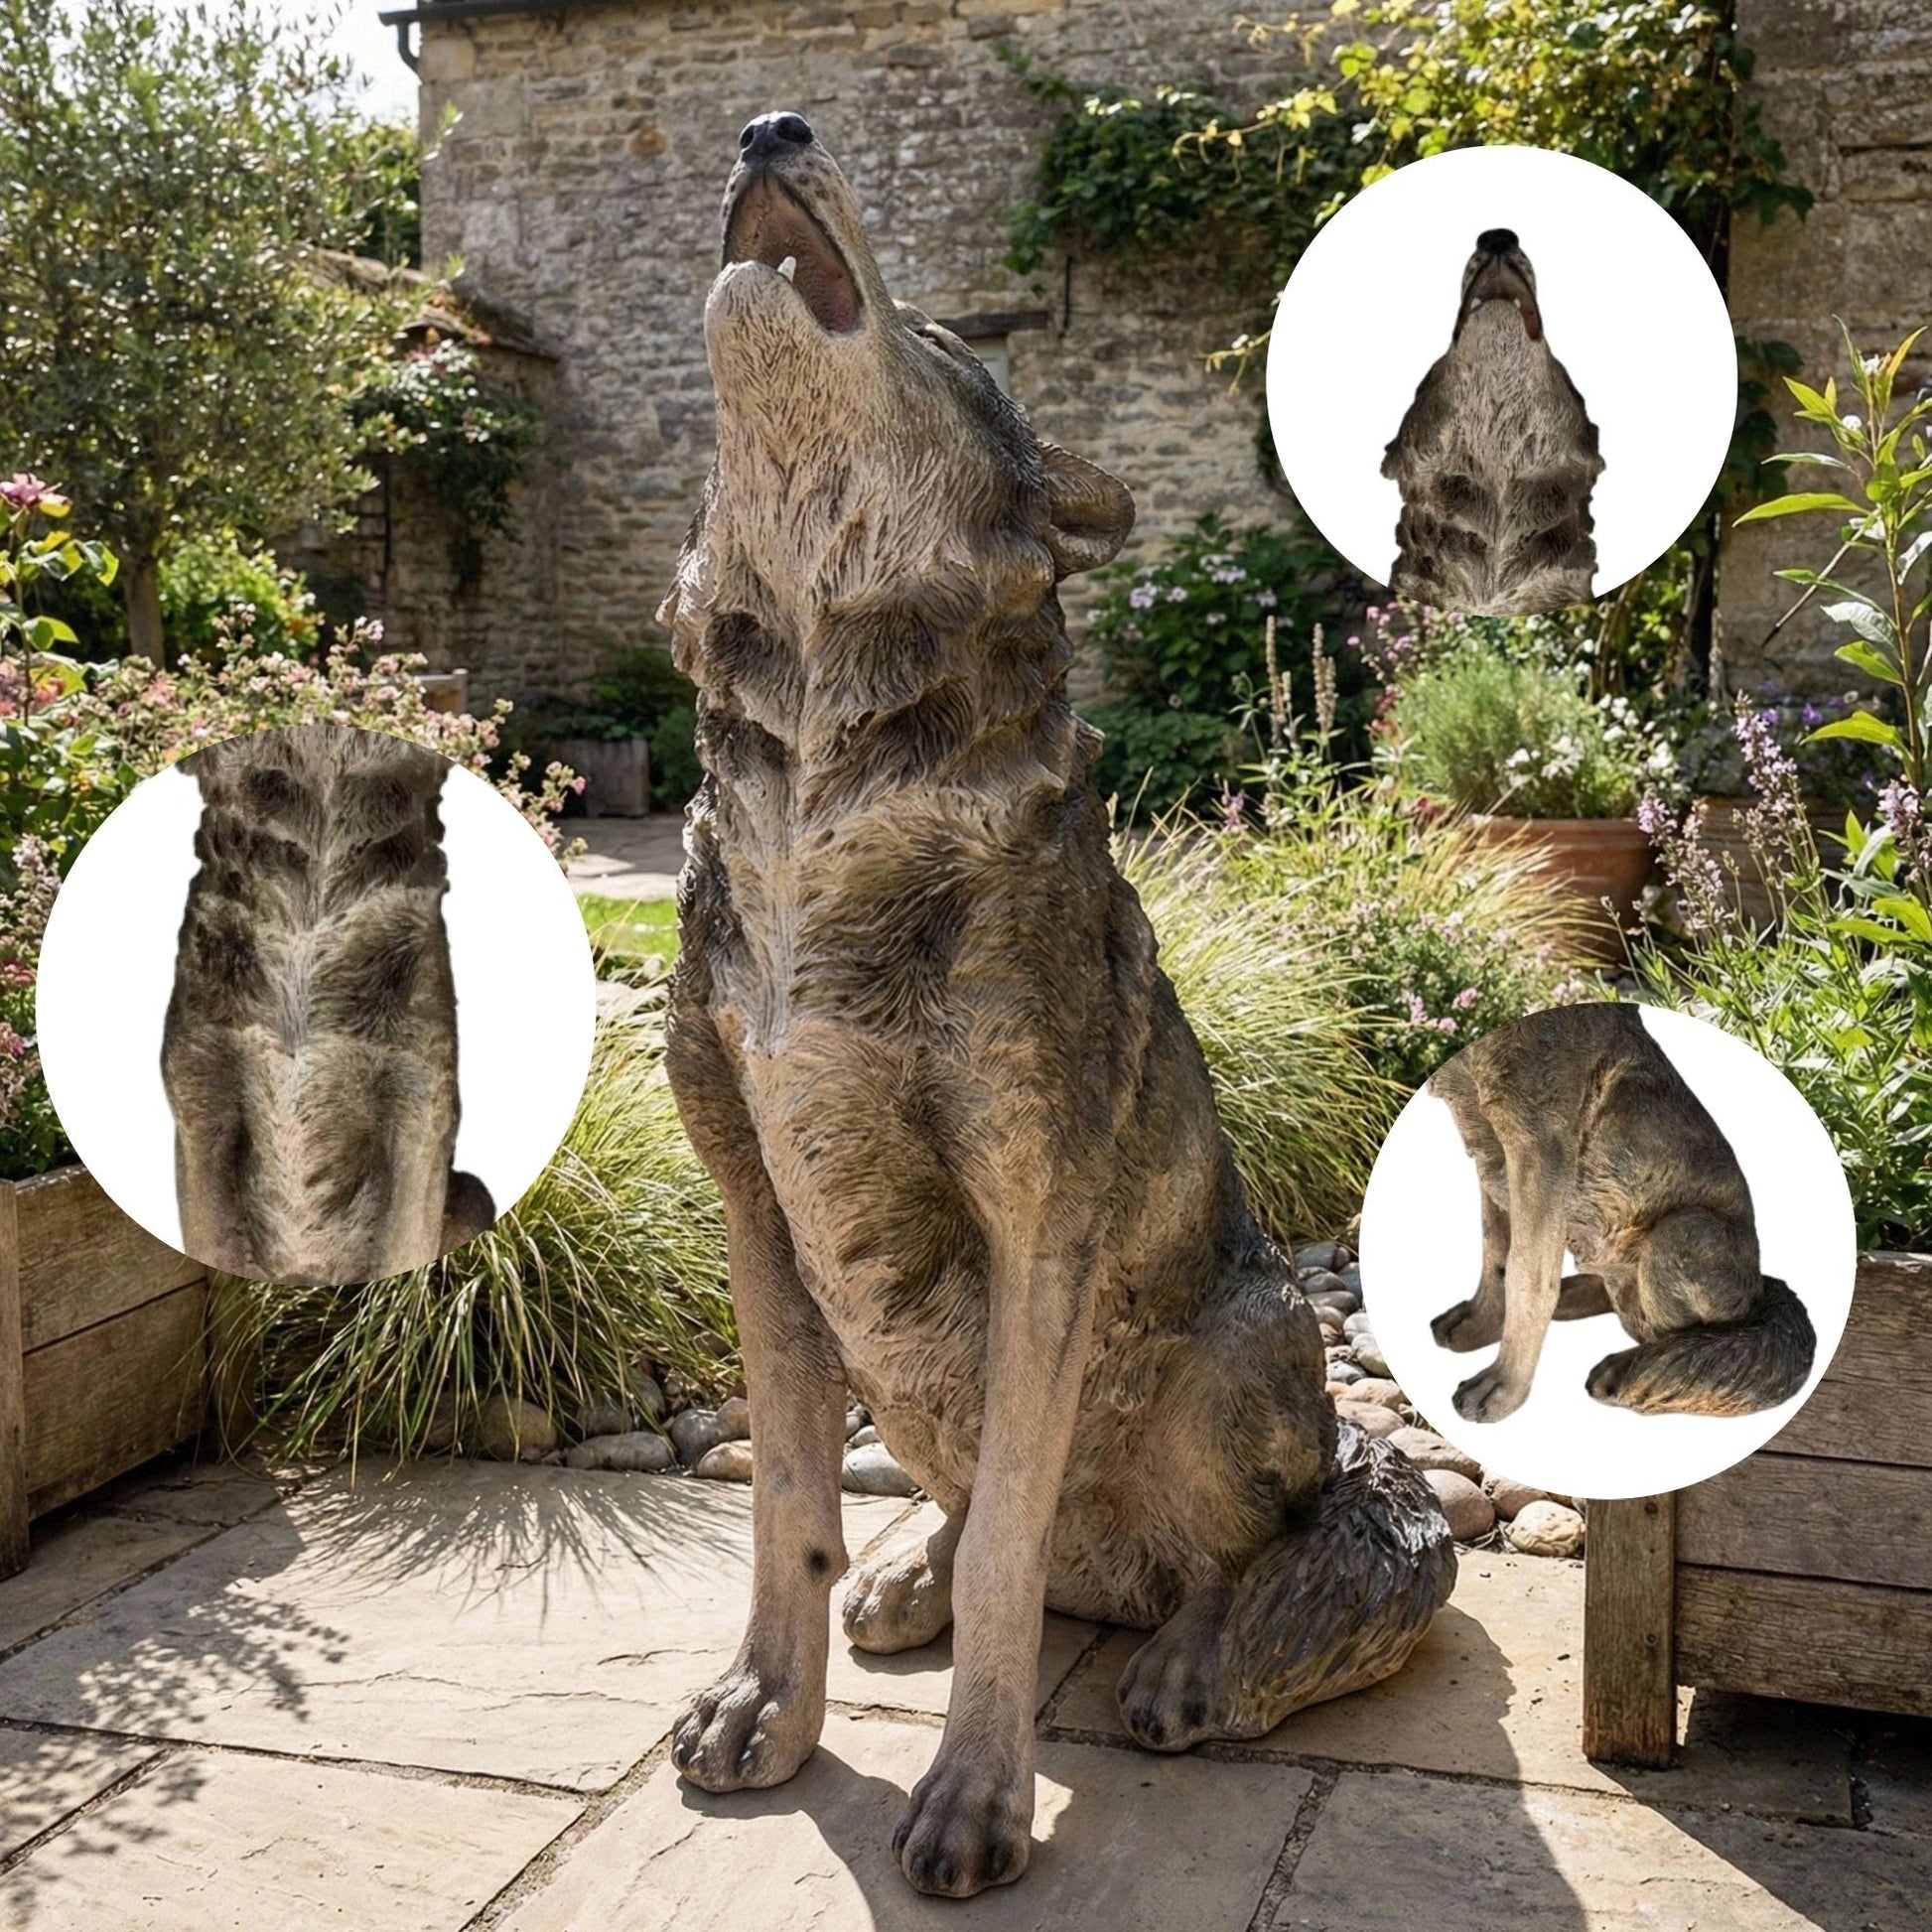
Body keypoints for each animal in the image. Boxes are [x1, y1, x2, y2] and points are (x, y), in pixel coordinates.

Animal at [656, 111, 1457, 1900]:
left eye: (951, 341)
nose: (768, 128)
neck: (821, 784)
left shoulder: (1041, 1215)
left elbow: (1017, 1538)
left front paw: (974, 1795)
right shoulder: (755, 1205)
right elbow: (786, 1503)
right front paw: (767, 1706)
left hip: (1239, 1346)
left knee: (1302, 1540)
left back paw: (1200, 1653)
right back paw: (912, 1571)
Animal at [1428, 1003, 1814, 1423]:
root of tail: (1759, 1291)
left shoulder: (1540, 1144)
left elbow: (1527, 1276)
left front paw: (1504, 1386)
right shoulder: (1488, 1147)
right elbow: (1495, 1251)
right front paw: (1481, 1323)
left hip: (1684, 1232)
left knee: (1678, 1333)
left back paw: (1628, 1367)